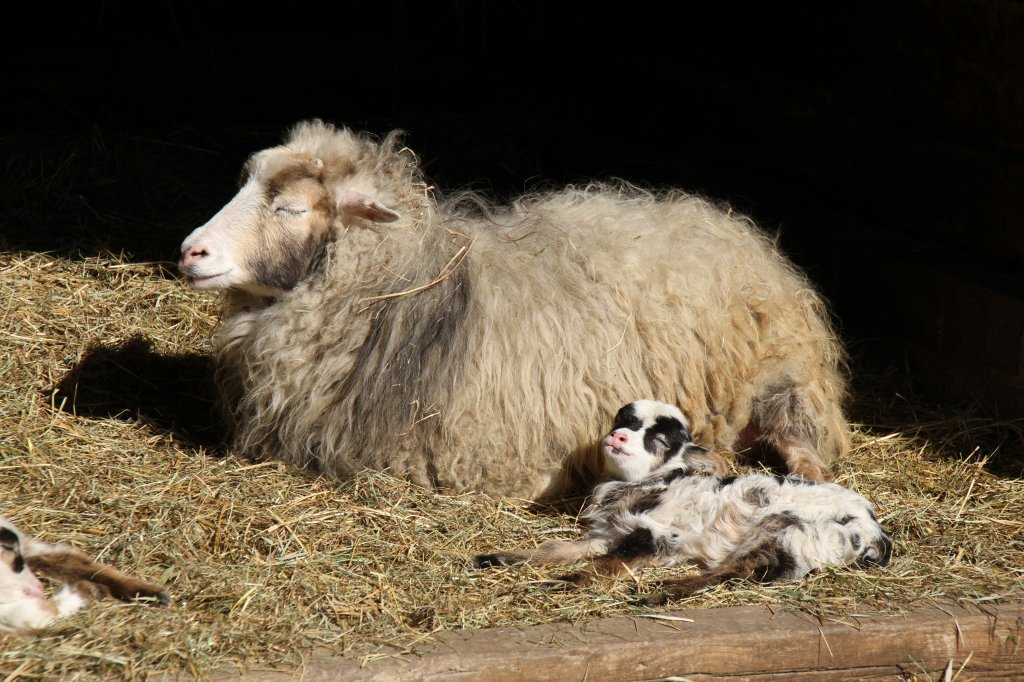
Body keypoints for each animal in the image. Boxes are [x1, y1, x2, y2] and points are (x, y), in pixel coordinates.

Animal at [182, 119, 847, 497]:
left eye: (289, 208)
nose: (191, 250)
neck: (408, 292)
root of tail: (730, 224)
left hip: (787, 379)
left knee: (804, 449)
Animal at [471, 395, 888, 598]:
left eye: (659, 439)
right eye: (623, 420)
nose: (617, 437)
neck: (649, 484)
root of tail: (875, 535)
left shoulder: (653, 534)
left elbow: (603, 567)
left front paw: (560, 585)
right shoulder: (609, 534)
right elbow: (556, 549)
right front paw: (497, 557)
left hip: (785, 531)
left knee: (732, 572)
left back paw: (659, 593)